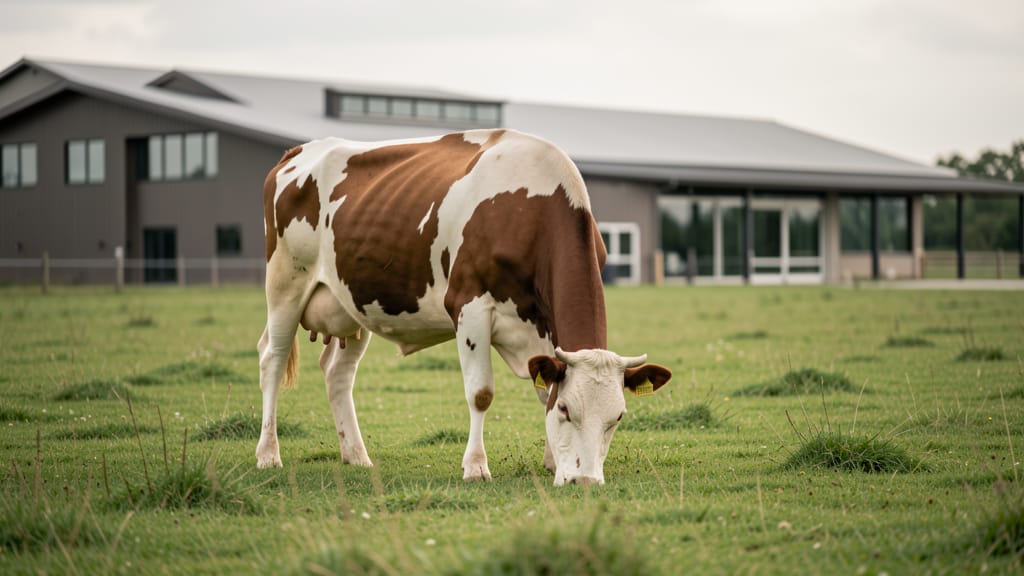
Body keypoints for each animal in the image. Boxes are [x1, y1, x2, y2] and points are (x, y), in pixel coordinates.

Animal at [256, 128, 672, 485]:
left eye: (617, 417)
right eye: (568, 409)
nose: (584, 481)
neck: (528, 207)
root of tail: (299, 151)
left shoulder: (543, 326)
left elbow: (543, 391)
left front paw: (553, 462)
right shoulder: (469, 306)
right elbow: (481, 393)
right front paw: (475, 467)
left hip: (351, 303)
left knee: (338, 373)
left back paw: (356, 455)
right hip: (285, 283)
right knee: (272, 359)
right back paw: (268, 454)